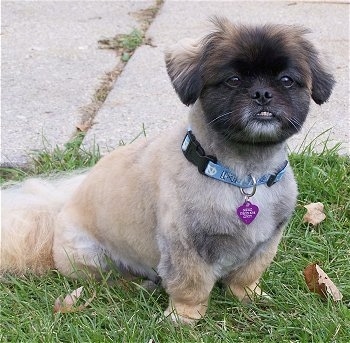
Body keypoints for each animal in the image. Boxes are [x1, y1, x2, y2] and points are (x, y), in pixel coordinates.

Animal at [0, 18, 334, 326]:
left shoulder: (265, 243)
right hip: (88, 255)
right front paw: (184, 317)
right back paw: (139, 284)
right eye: (233, 79)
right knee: (107, 278)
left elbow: (246, 275)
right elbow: (191, 285)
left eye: (287, 80)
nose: (262, 93)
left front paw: (249, 296)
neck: (243, 175)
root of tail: (60, 208)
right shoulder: (185, 247)